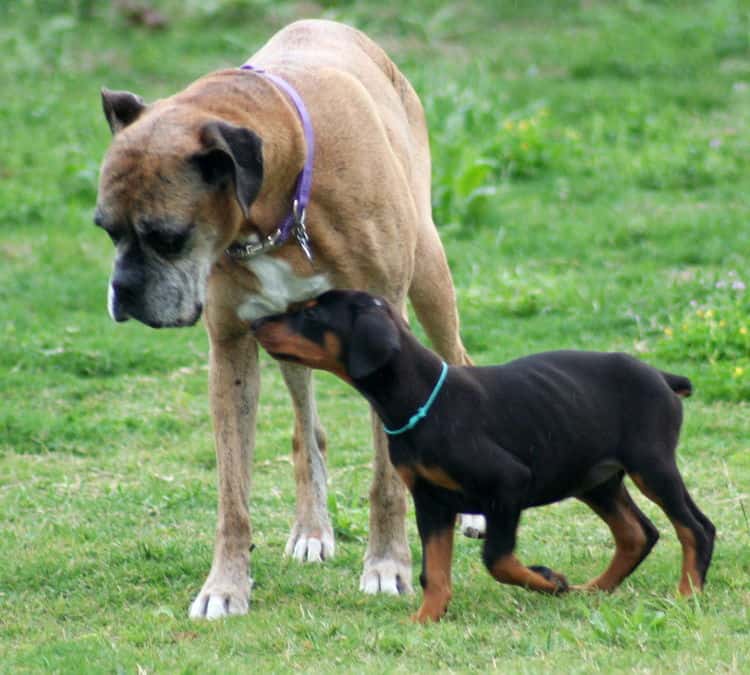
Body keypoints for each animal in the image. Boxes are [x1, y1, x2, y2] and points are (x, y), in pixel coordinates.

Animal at [92, 18, 470, 620]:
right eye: (106, 229)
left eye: (168, 237)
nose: (122, 292)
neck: (279, 206)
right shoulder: (231, 351)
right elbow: (232, 493)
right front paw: (225, 586)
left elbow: (386, 478)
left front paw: (387, 565)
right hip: (289, 333)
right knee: (306, 432)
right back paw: (313, 528)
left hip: (431, 276)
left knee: (458, 358)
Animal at [256, 290, 720, 624]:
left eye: (313, 315)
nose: (257, 321)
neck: (423, 399)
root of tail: (661, 376)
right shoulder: (430, 501)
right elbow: (434, 572)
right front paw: (426, 618)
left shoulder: (508, 484)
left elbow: (496, 559)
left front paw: (547, 581)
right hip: (595, 479)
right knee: (637, 533)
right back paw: (592, 589)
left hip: (651, 465)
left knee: (696, 527)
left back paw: (686, 593)